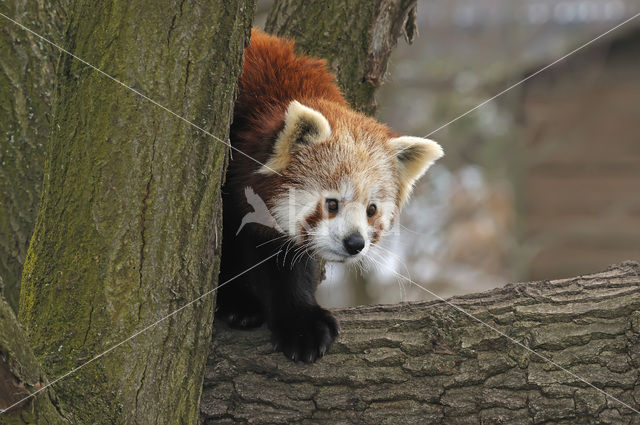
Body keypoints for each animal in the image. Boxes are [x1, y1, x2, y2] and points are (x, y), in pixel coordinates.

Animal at [218, 29, 442, 362]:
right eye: (332, 203)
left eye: (371, 210)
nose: (355, 243)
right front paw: (238, 302)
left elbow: (285, 264)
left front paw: (301, 323)